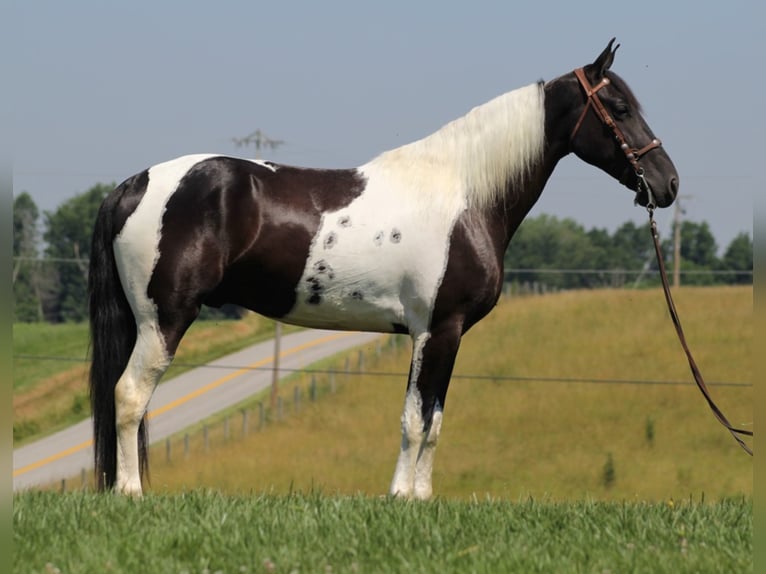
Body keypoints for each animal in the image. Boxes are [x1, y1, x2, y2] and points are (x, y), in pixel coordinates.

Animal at [87, 40, 680, 500]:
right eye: (619, 107)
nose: (667, 183)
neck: (465, 194)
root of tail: (134, 184)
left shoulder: (450, 336)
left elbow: (435, 422)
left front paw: (421, 498)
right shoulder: (435, 331)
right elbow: (414, 419)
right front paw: (399, 497)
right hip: (162, 319)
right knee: (130, 396)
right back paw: (130, 493)